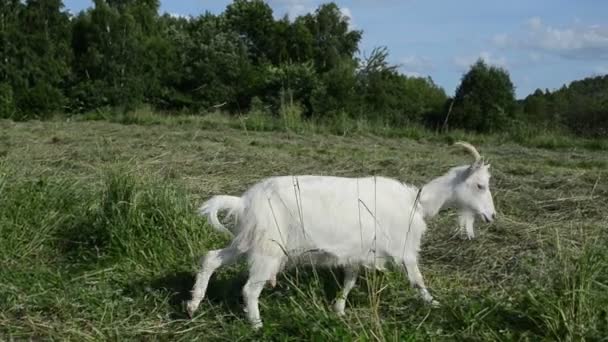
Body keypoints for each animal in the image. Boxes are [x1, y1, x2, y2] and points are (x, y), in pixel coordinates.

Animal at [188, 142, 496, 328]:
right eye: (480, 185)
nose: (491, 217)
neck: (416, 203)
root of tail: (244, 201)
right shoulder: (404, 250)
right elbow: (417, 280)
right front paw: (434, 304)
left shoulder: (355, 253)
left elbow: (349, 281)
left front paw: (338, 309)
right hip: (268, 250)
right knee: (250, 289)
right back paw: (256, 325)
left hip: (248, 241)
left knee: (211, 258)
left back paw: (193, 304)